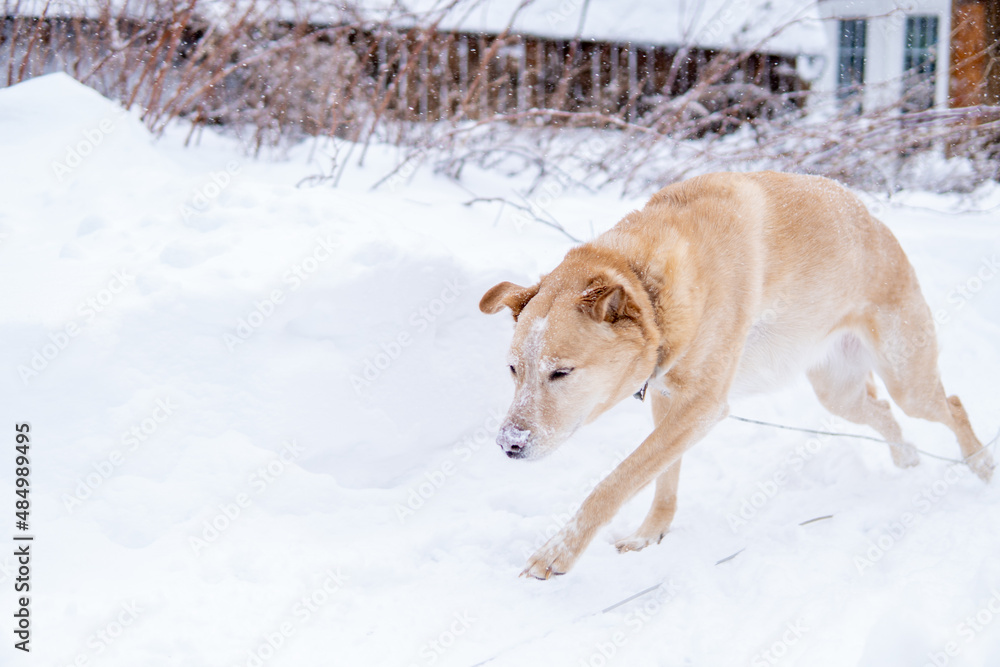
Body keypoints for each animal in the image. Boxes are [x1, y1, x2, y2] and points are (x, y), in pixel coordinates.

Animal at [482, 171, 992, 580]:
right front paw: (650, 535)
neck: (651, 286)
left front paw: (558, 553)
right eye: (513, 370)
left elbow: (616, 481)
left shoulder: (702, 406)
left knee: (950, 405)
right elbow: (662, 480)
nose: (508, 445)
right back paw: (907, 459)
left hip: (907, 378)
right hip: (839, 394)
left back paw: (982, 466)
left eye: (561, 372)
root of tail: (877, 223)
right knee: (884, 412)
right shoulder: (670, 401)